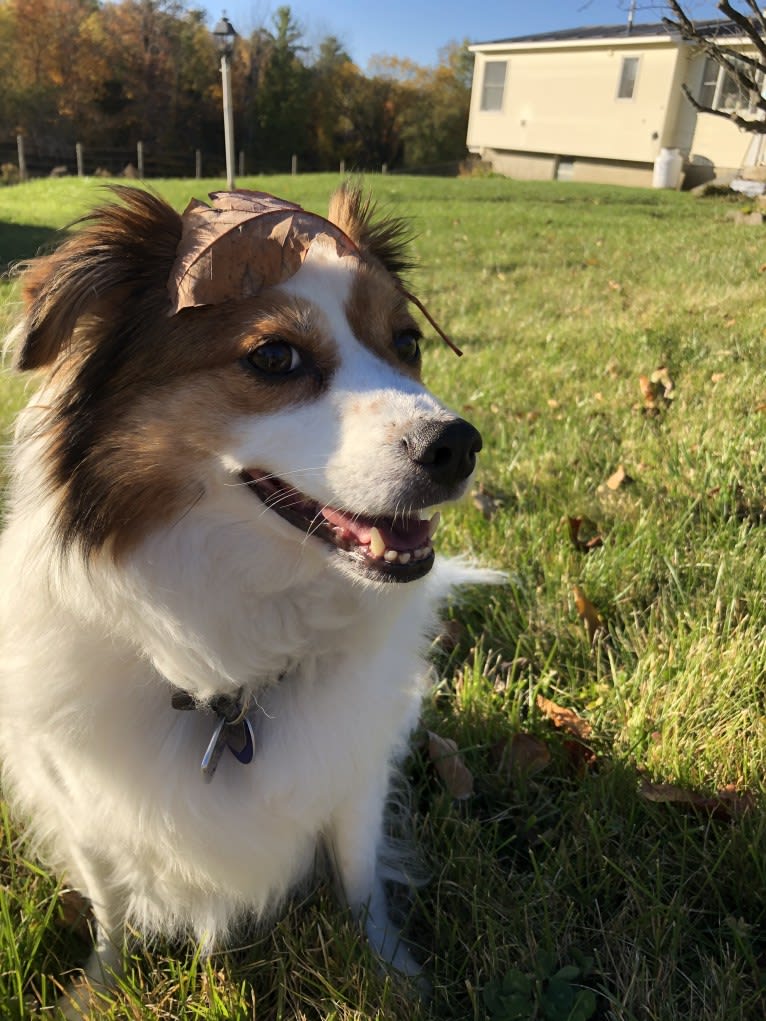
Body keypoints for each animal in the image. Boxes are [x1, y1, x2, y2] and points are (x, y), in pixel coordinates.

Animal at [0, 183, 492, 1004]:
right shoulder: (82, 799)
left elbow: (360, 879)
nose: (457, 445)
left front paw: (391, 970)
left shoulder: (354, 767)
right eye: (273, 356)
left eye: (407, 342)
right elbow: (111, 905)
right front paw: (100, 988)